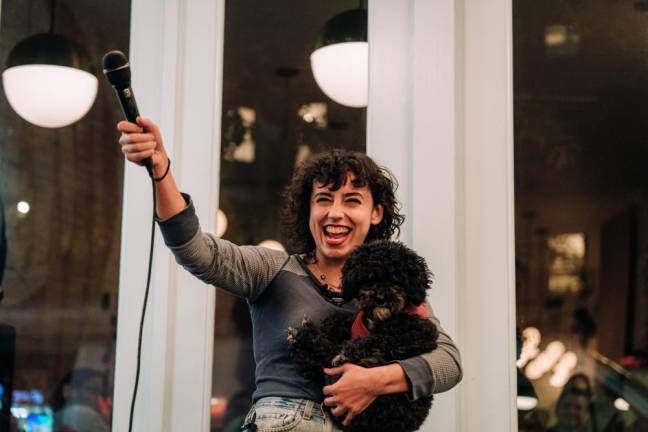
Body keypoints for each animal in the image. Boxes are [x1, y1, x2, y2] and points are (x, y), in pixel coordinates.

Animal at [286, 241, 438, 430]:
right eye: (368, 280)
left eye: (396, 279)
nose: (380, 298)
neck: (377, 318)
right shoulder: (355, 322)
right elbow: (340, 320)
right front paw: (329, 328)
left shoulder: (420, 331)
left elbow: (382, 337)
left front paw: (348, 350)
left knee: (325, 356)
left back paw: (305, 336)